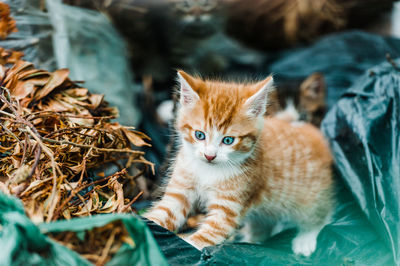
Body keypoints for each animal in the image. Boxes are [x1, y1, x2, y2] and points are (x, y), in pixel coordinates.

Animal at [145, 70, 334, 256]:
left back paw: (306, 238)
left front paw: (188, 246)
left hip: (310, 197)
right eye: (199, 135)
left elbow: (209, 234)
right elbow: (165, 212)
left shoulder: (229, 207)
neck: (207, 170)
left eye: (228, 140)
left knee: (322, 215)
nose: (209, 156)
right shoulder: (180, 190)